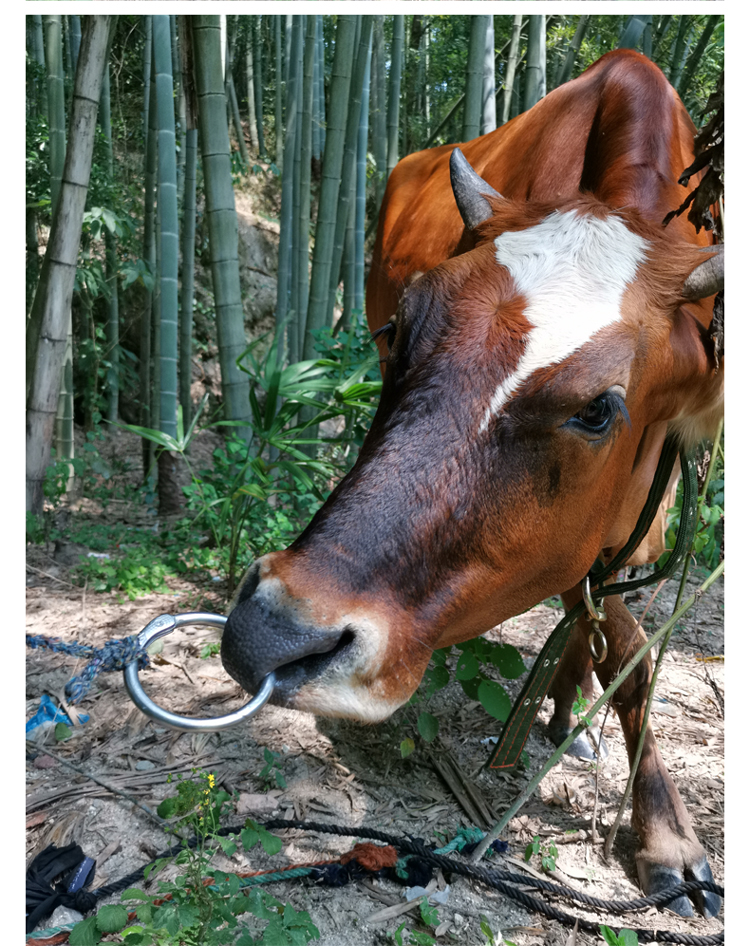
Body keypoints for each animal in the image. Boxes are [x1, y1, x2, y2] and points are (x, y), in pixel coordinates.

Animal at [220, 49, 724, 916]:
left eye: (599, 409)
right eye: (400, 328)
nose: (269, 633)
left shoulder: (632, 527)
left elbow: (625, 654)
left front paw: (665, 831)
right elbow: (607, 634)